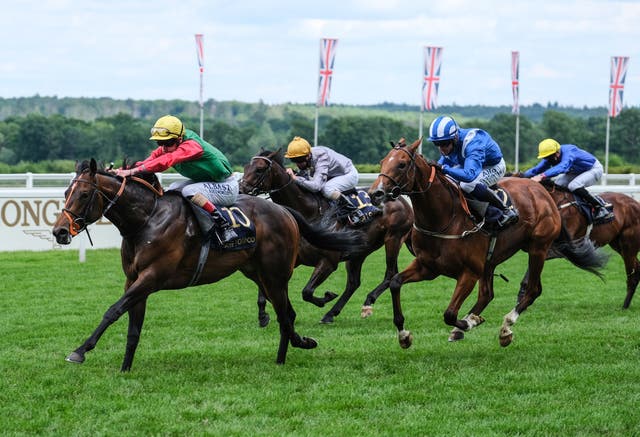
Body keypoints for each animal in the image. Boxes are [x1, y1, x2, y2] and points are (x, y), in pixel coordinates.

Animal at [52, 158, 364, 370]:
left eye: (83, 194)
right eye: (66, 192)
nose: (59, 231)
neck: (147, 219)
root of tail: (284, 210)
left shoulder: (152, 277)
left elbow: (113, 310)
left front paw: (80, 350)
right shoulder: (134, 279)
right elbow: (133, 327)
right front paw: (125, 368)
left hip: (275, 274)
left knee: (286, 315)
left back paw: (290, 351)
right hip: (258, 274)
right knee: (287, 313)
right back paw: (291, 350)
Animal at [240, 150, 416, 324]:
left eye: (259, 169)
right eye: (246, 166)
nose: (241, 188)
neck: (309, 213)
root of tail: (400, 198)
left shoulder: (328, 262)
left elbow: (307, 292)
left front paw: (326, 297)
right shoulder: (292, 259)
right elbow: (266, 287)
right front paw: (263, 314)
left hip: (393, 239)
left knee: (390, 274)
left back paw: (367, 301)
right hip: (359, 252)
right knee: (354, 283)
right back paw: (331, 313)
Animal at [368, 137, 608, 348]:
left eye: (402, 164)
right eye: (382, 161)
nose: (374, 193)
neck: (443, 218)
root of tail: (542, 192)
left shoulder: (469, 272)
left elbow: (449, 314)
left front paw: (468, 323)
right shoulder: (428, 267)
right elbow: (395, 282)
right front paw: (404, 335)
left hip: (538, 248)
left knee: (532, 290)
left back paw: (505, 327)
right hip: (491, 261)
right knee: (488, 294)